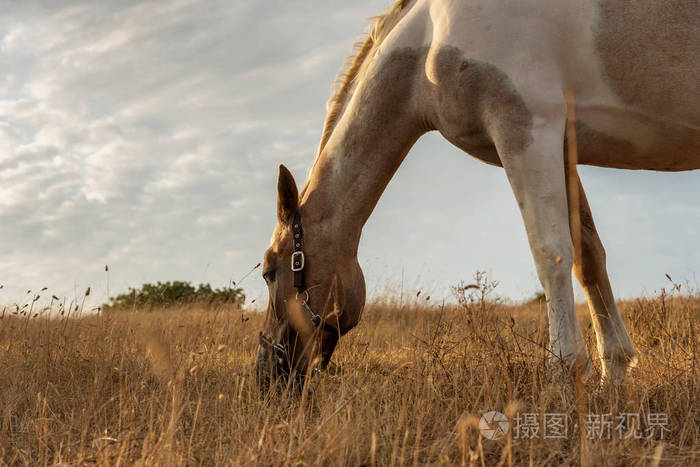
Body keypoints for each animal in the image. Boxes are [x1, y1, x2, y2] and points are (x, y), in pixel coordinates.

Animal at [254, 0, 696, 388]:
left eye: (269, 271)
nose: (266, 373)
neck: (430, 39)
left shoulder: (525, 129)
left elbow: (550, 253)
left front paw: (565, 374)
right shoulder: (562, 147)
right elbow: (587, 257)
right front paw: (615, 373)